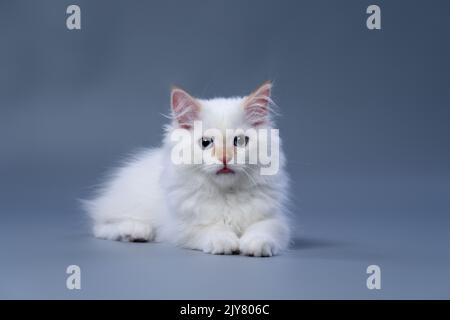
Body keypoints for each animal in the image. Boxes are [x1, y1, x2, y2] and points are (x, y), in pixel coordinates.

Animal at [82, 82, 290, 258]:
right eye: (206, 143)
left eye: (239, 141)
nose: (224, 158)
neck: (226, 194)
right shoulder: (182, 225)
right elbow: (211, 228)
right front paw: (224, 241)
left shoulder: (274, 220)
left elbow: (263, 230)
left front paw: (255, 245)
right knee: (101, 227)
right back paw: (136, 231)